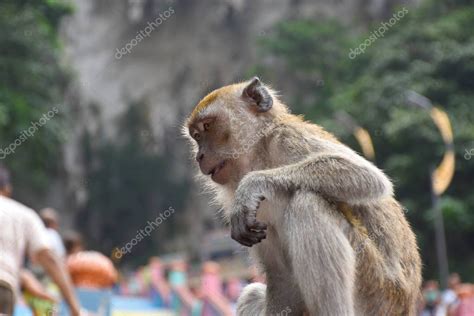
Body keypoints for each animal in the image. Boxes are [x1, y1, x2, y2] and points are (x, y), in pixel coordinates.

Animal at [184, 77, 422, 316]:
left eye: (207, 126)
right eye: (196, 137)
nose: (199, 156)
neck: (259, 153)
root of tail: (408, 304)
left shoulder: (287, 139)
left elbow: (368, 178)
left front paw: (252, 184)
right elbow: (280, 275)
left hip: (377, 292)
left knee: (307, 204)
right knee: (252, 294)